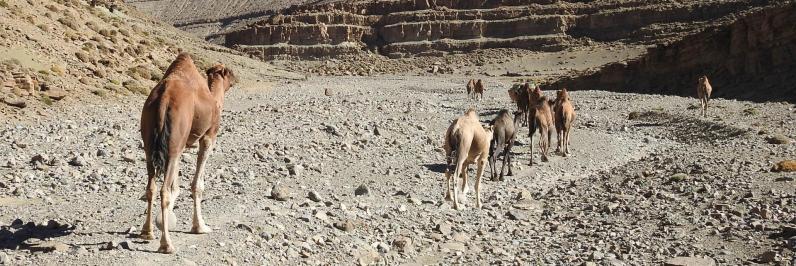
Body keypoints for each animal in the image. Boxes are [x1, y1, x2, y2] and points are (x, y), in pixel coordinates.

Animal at [140, 53, 235, 255]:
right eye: (229, 72)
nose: (235, 79)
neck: (214, 100)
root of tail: (164, 98)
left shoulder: (182, 145)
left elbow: (176, 185)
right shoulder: (208, 136)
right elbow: (197, 184)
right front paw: (200, 226)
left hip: (151, 145)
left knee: (151, 187)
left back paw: (147, 232)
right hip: (174, 142)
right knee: (164, 190)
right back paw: (166, 244)